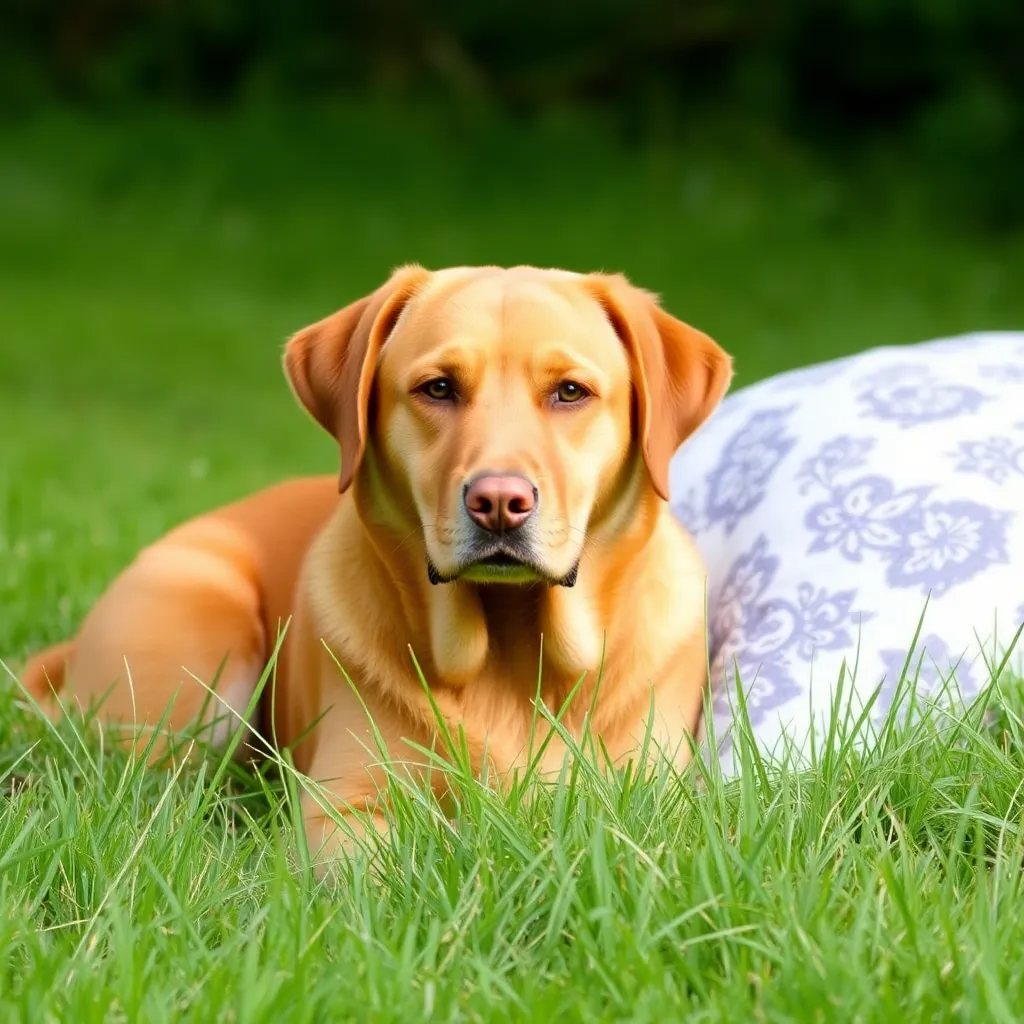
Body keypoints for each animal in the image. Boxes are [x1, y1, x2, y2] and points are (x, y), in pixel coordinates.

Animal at [19, 266, 733, 864]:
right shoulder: (344, 805)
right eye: (438, 388)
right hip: (192, 675)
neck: (506, 650)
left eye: (570, 392)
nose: (500, 503)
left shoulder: (655, 805)